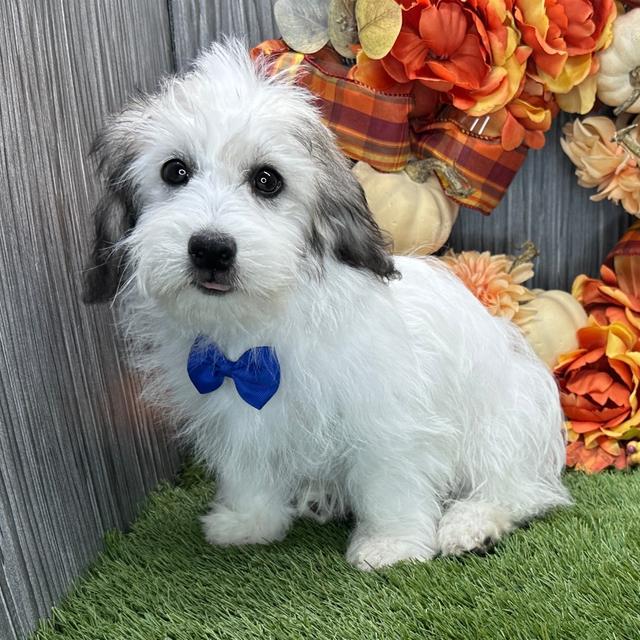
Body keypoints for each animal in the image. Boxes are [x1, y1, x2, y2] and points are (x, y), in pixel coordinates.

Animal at [84, 40, 568, 568]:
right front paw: (249, 521)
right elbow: (250, 467)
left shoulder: (388, 416)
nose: (210, 248)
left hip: (507, 421)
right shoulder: (237, 407)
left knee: (517, 490)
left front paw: (391, 543)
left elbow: (390, 480)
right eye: (175, 171)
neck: (262, 327)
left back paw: (472, 523)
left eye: (267, 180)